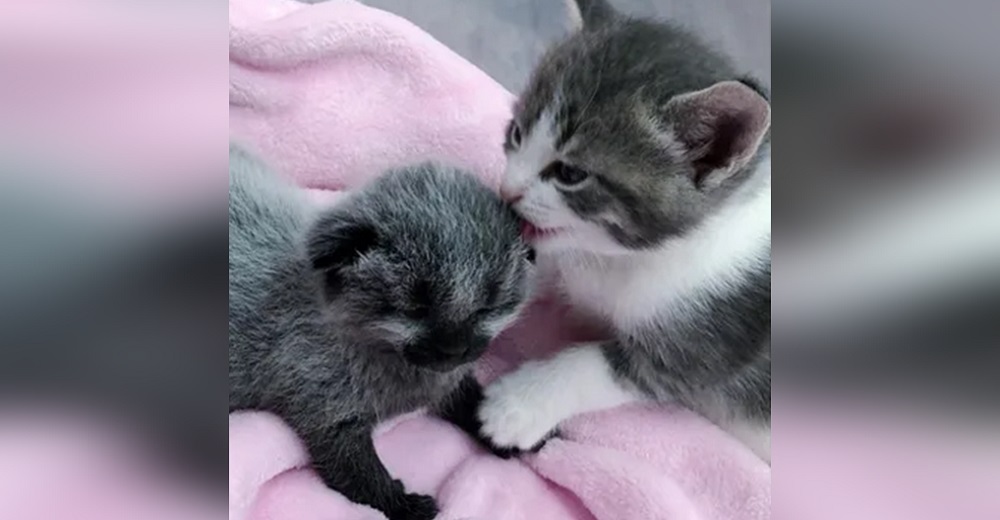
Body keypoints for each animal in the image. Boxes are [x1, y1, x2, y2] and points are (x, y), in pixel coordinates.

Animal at [229, 143, 536, 520]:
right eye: (415, 308)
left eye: (487, 307)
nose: (454, 351)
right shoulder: (327, 416)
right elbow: (363, 479)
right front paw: (406, 506)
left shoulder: (450, 382)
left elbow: (478, 404)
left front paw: (516, 426)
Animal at [476, 0, 772, 464]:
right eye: (517, 133)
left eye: (570, 173)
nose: (508, 192)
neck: (628, 258)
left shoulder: (701, 348)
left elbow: (595, 366)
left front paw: (517, 406)